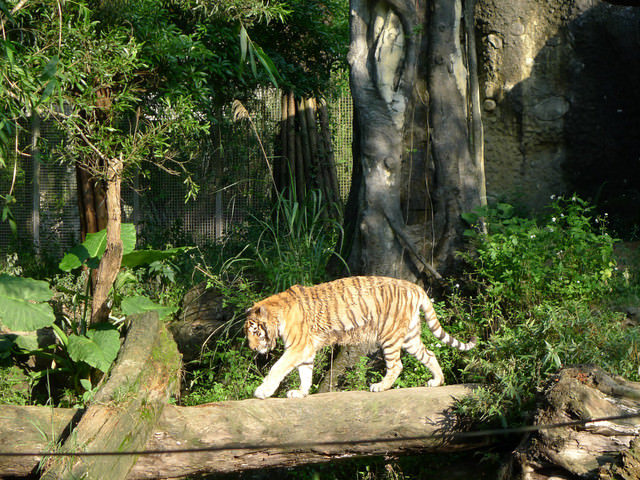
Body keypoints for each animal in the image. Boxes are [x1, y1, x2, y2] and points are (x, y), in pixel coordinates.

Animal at [245, 276, 476, 400]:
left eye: (255, 331)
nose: (252, 348)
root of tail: (414, 286)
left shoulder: (297, 347)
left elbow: (278, 368)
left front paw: (262, 391)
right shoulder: (306, 349)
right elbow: (305, 373)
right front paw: (301, 393)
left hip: (390, 335)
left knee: (397, 365)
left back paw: (380, 386)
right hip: (410, 337)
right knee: (429, 354)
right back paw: (437, 381)